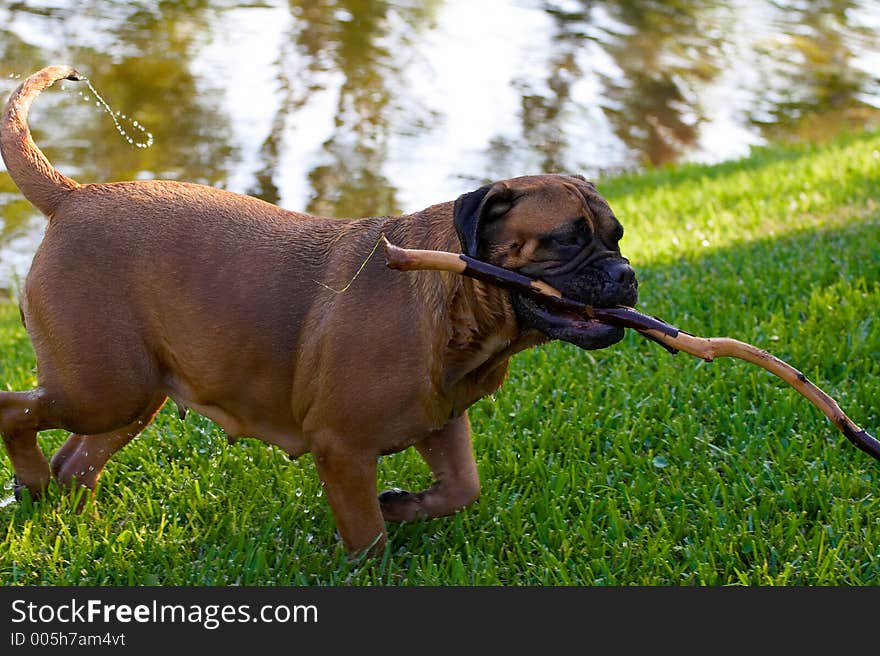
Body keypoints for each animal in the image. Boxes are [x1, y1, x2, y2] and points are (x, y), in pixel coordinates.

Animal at [0, 66, 636, 556]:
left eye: (618, 237)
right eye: (566, 239)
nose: (627, 275)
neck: (466, 314)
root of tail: (73, 196)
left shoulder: (441, 421)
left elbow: (462, 488)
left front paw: (402, 504)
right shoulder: (343, 448)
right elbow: (367, 536)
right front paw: (374, 559)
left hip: (131, 395)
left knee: (75, 461)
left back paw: (77, 522)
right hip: (101, 388)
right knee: (15, 412)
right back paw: (32, 482)